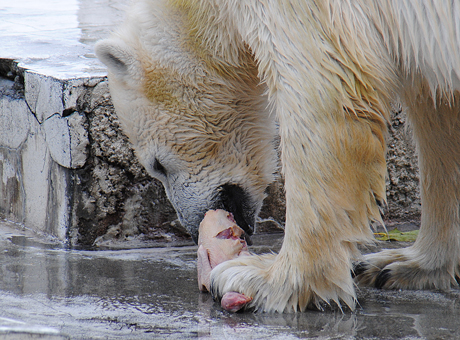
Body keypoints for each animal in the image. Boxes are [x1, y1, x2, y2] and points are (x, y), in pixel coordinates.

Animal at [95, 0, 460, 312]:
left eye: (157, 165)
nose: (193, 224)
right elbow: (438, 108)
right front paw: (405, 264)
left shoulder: (301, 11)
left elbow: (324, 93)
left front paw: (265, 278)